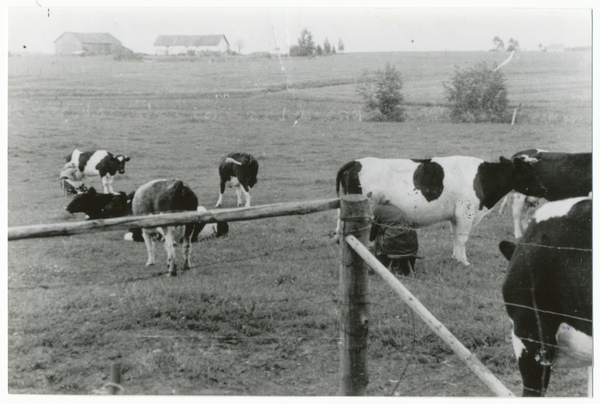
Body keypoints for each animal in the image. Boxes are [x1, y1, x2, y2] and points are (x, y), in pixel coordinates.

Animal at [336, 155, 548, 266]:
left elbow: (455, 238)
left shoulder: (455, 216)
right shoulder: (466, 213)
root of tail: (357, 161)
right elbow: (463, 239)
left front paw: (455, 258)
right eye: (530, 172)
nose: (544, 189)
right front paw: (464, 262)